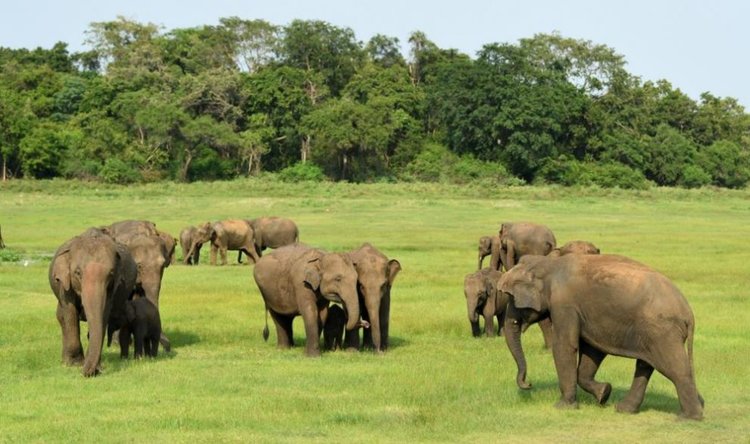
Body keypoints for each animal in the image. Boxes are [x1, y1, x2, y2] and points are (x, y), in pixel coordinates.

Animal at [49, 230, 137, 377]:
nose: (89, 372)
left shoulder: (111, 290)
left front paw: (94, 366)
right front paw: (74, 364)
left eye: (111, 274)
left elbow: (103, 315)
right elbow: (69, 313)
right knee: (61, 317)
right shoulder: (65, 284)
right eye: (77, 272)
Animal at [498, 253, 703, 420]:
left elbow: (565, 346)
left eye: (512, 298)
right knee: (645, 365)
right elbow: (592, 351)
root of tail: (689, 313)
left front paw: (563, 407)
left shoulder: (564, 305)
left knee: (675, 369)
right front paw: (604, 394)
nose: (528, 384)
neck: (550, 263)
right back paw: (624, 409)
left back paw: (689, 418)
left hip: (662, 330)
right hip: (653, 332)